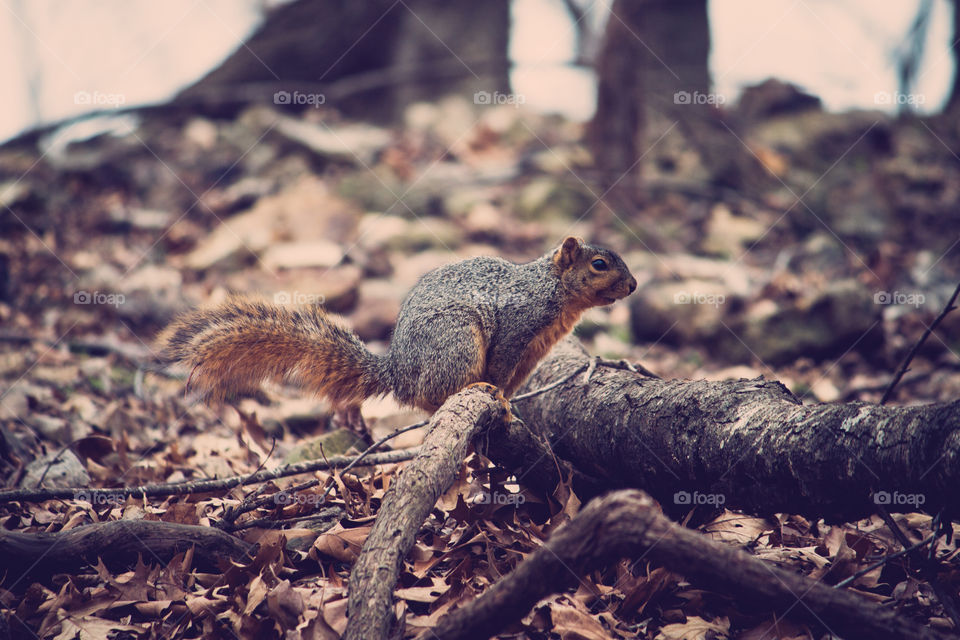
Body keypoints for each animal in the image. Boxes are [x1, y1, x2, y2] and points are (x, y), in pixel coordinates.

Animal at [156, 236, 637, 413]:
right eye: (599, 264)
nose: (632, 285)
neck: (554, 291)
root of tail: (399, 374)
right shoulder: (518, 328)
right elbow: (501, 367)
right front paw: (497, 398)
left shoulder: (534, 351)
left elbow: (513, 379)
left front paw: (510, 403)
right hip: (457, 340)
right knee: (433, 395)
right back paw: (467, 389)